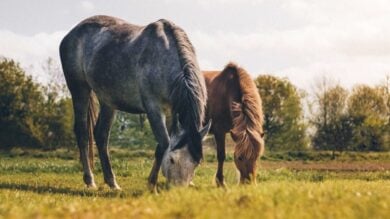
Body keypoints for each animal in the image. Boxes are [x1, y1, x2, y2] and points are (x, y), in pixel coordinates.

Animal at [58, 15, 210, 190]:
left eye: (196, 163)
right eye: (172, 160)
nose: (178, 190)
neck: (163, 58)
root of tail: (71, 34)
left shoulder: (171, 111)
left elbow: (161, 145)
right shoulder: (153, 109)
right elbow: (164, 144)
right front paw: (151, 184)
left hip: (108, 101)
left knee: (101, 135)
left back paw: (112, 182)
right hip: (79, 90)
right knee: (82, 133)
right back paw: (90, 180)